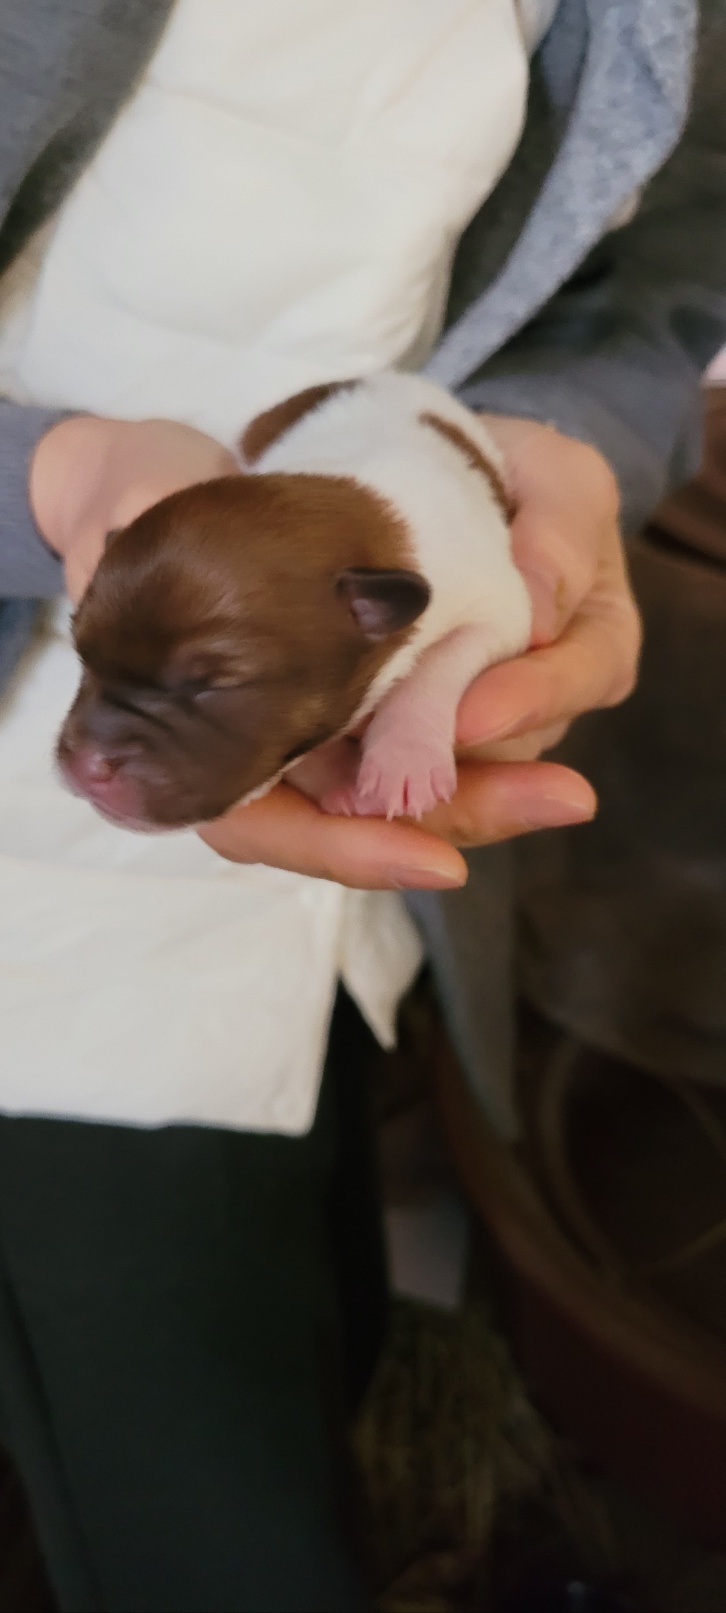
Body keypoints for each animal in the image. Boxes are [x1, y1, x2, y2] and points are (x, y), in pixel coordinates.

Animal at [57, 371, 532, 831]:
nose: (85, 766)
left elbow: (438, 663)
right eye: (81, 657)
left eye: (213, 685)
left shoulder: (498, 603)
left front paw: (404, 759)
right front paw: (333, 777)